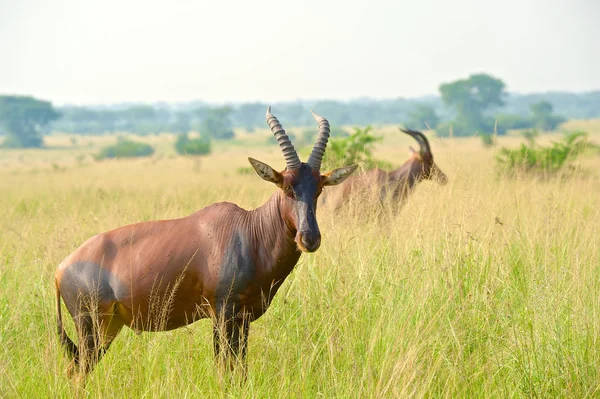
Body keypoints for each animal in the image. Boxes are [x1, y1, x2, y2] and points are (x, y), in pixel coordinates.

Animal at [54, 106, 356, 382]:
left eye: (318, 188)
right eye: (287, 187)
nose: (309, 238)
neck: (249, 231)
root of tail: (60, 270)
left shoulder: (242, 319)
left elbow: (240, 370)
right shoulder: (222, 313)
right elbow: (224, 369)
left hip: (108, 328)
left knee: (75, 370)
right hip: (91, 326)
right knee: (77, 372)